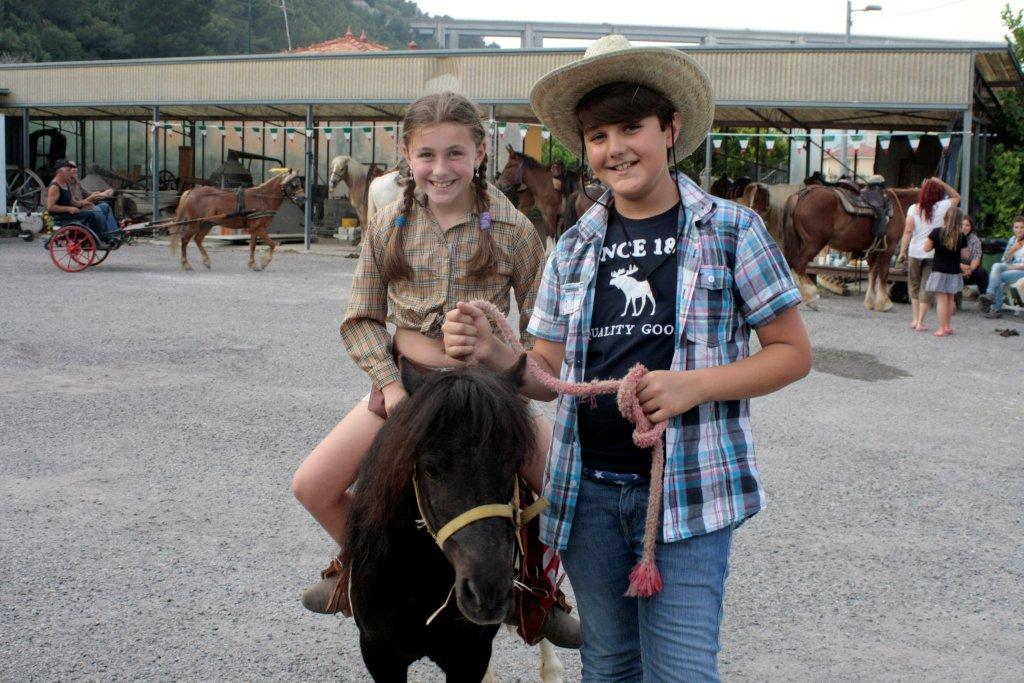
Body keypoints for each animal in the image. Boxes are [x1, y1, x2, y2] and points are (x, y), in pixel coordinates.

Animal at [168, 170, 305, 271]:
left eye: (300, 182)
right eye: (293, 184)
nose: (304, 198)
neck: (262, 198)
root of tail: (191, 192)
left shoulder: (254, 228)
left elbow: (253, 245)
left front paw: (252, 264)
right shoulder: (258, 227)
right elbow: (272, 244)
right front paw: (264, 262)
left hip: (207, 224)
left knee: (197, 239)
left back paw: (206, 261)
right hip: (195, 223)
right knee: (185, 240)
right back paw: (186, 264)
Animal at [781, 186, 916, 312]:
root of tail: (801, 195)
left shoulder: (874, 250)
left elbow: (873, 273)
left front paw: (870, 302)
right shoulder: (889, 247)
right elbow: (883, 273)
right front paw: (884, 303)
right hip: (814, 244)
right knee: (799, 265)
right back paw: (812, 298)